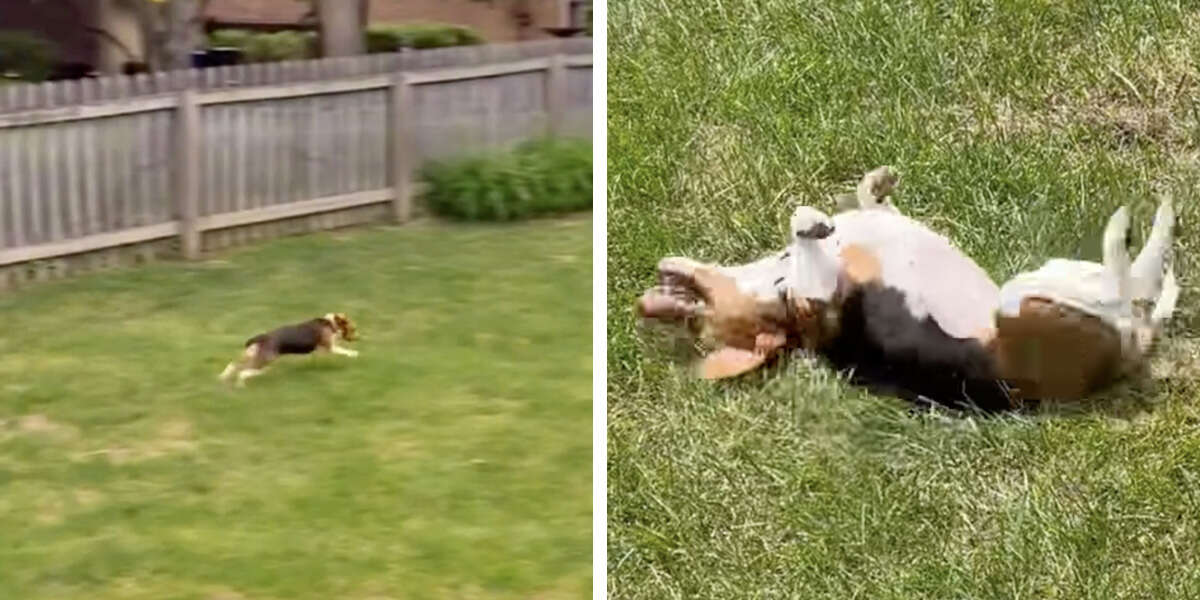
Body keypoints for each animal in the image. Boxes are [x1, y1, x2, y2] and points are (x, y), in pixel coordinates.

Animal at [217, 312, 357, 386]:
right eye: (353, 329)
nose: (359, 337)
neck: (331, 323)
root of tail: (263, 337)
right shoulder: (330, 347)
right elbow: (344, 351)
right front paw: (354, 354)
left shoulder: (324, 349)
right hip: (263, 362)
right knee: (243, 372)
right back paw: (240, 384)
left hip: (252, 356)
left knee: (233, 365)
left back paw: (222, 377)